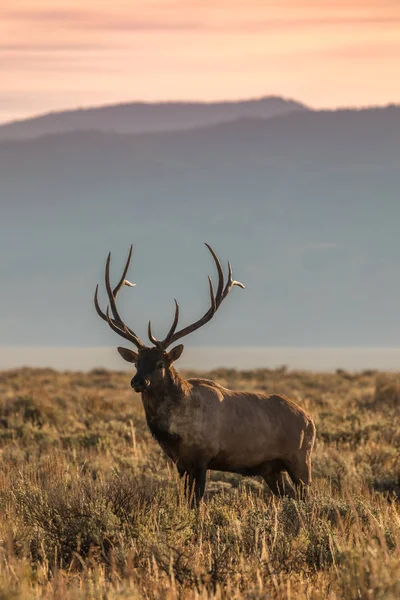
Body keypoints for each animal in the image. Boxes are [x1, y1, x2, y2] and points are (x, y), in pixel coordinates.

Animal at [94, 246, 316, 504]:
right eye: (137, 363)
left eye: (160, 364)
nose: (138, 381)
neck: (174, 432)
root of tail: (310, 421)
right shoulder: (181, 464)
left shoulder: (202, 458)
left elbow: (196, 502)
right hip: (271, 468)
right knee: (289, 496)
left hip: (300, 460)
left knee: (306, 497)